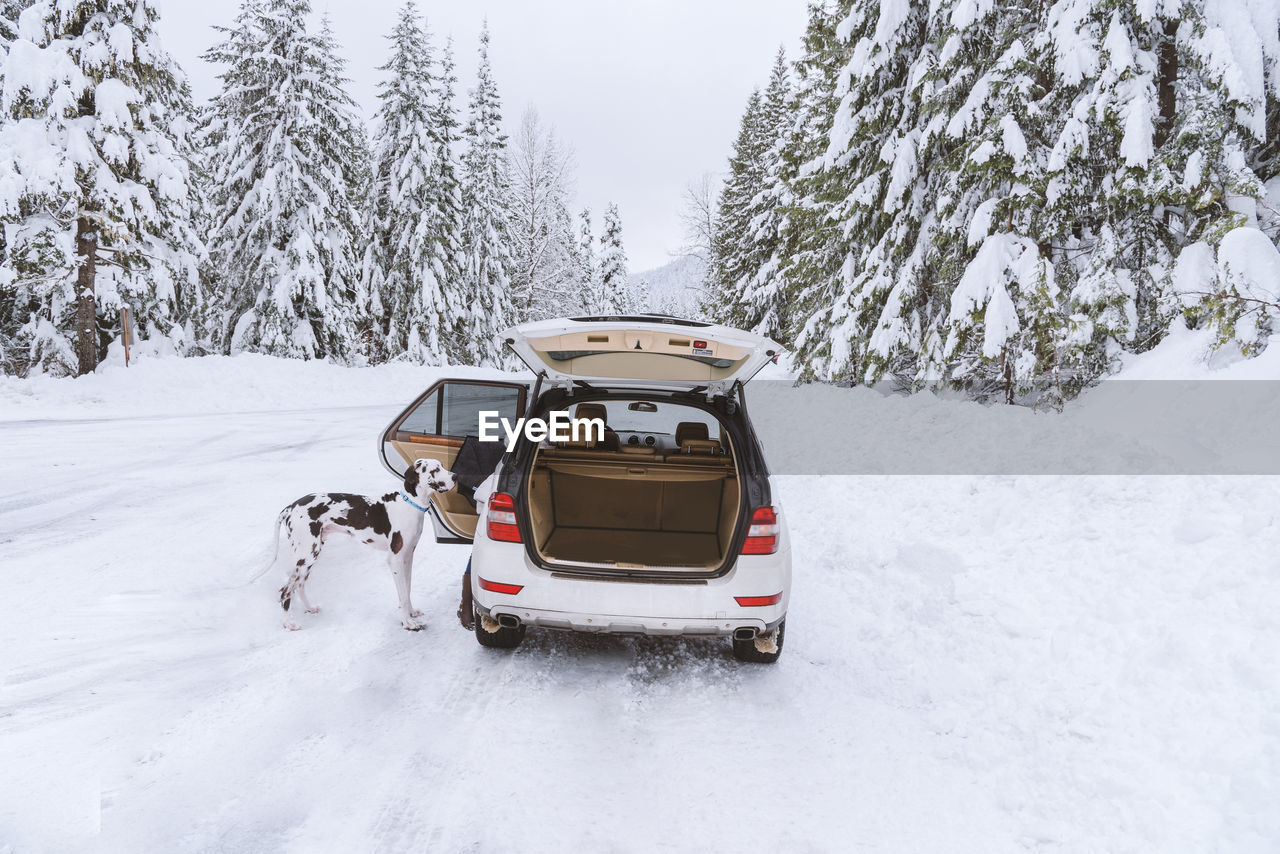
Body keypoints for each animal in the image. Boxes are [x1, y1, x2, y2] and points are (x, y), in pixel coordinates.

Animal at [270, 458, 455, 632]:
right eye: (435, 469)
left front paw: (411, 613)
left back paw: (309, 608)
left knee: (299, 585)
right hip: (306, 555)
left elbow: (407, 590)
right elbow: (402, 595)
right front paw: (407, 623)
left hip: (309, 555)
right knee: (285, 591)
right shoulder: (395, 560)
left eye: (441, 465)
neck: (409, 504)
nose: (455, 476)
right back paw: (289, 624)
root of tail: (290, 507)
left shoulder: (408, 557)